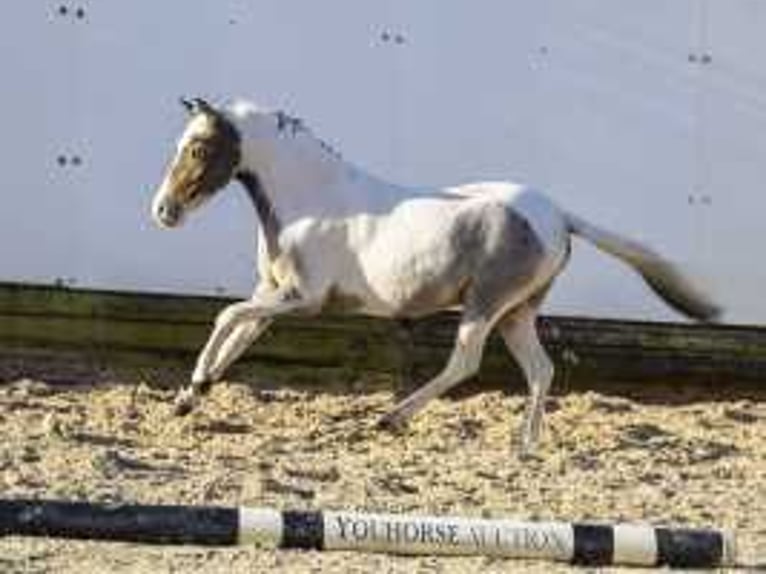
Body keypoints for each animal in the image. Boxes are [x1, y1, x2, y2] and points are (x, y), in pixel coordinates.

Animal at [150, 100, 720, 460]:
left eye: (199, 148)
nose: (163, 212)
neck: (313, 201)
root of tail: (558, 216)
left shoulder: (303, 300)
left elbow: (225, 315)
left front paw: (195, 385)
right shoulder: (271, 294)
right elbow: (238, 334)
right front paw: (191, 395)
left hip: (485, 305)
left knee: (465, 362)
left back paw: (392, 418)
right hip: (517, 314)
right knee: (541, 370)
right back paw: (525, 446)